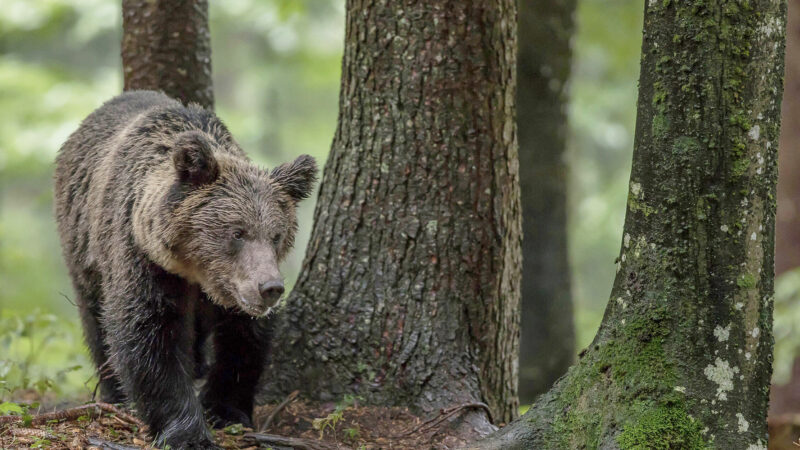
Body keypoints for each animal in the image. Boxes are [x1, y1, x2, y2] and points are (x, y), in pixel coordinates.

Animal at [51, 89, 316, 448]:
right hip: (83, 246)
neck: (195, 272)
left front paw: (225, 410)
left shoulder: (234, 290)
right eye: (237, 232)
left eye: (276, 235)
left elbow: (243, 340)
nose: (270, 288)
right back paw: (113, 392)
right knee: (96, 320)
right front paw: (187, 432)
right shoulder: (145, 261)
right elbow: (149, 338)